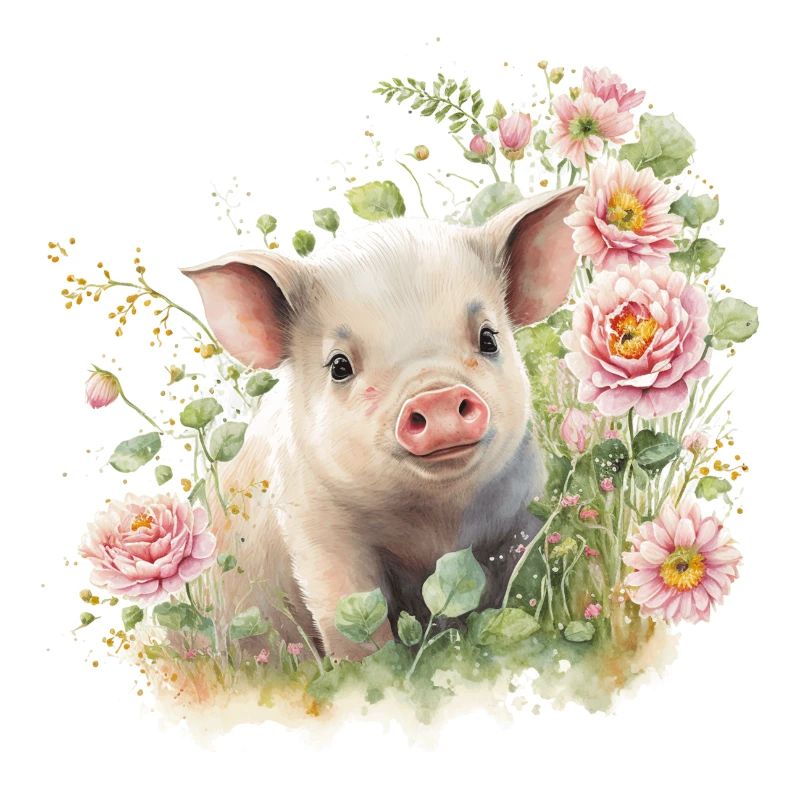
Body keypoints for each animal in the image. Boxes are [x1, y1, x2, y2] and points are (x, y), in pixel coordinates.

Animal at [182, 185, 582, 660]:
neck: (435, 524)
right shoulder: (316, 531)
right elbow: (354, 621)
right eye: (339, 366)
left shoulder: (524, 513)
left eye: (488, 338)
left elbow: (523, 584)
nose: (437, 394)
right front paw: (374, 669)